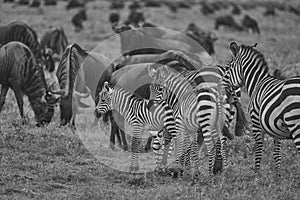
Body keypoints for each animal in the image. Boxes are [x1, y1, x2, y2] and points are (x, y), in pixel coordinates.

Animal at [226, 41, 300, 174]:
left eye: (229, 67)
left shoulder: (256, 120)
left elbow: (259, 148)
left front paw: (256, 173)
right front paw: (278, 175)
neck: (257, 83)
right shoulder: (275, 128)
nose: (224, 85)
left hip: (294, 123)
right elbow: (277, 154)